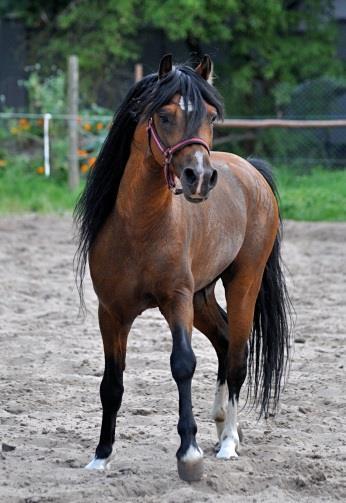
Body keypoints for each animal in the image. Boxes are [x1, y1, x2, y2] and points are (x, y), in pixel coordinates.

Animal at [74, 53, 290, 482]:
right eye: (164, 114)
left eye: (211, 116)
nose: (200, 177)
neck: (139, 227)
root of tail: (250, 171)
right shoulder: (112, 312)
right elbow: (112, 382)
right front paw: (101, 455)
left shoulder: (176, 301)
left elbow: (183, 365)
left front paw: (189, 454)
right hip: (202, 296)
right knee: (223, 341)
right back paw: (222, 425)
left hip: (243, 283)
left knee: (237, 356)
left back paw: (228, 443)